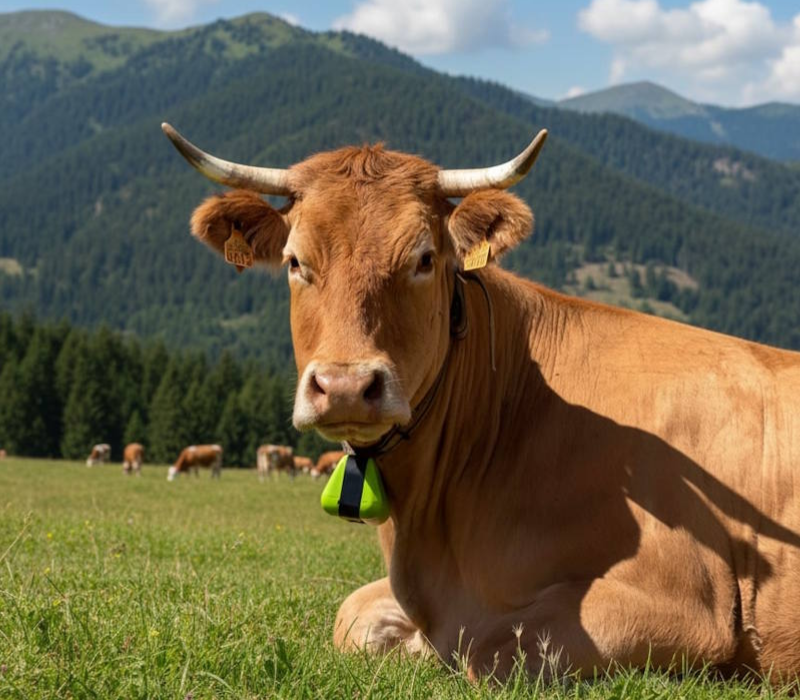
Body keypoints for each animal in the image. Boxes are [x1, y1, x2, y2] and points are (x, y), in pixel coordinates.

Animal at [163, 122, 800, 683]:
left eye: (423, 259)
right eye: (296, 262)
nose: (345, 386)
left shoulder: (688, 610)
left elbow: (488, 651)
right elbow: (350, 617)